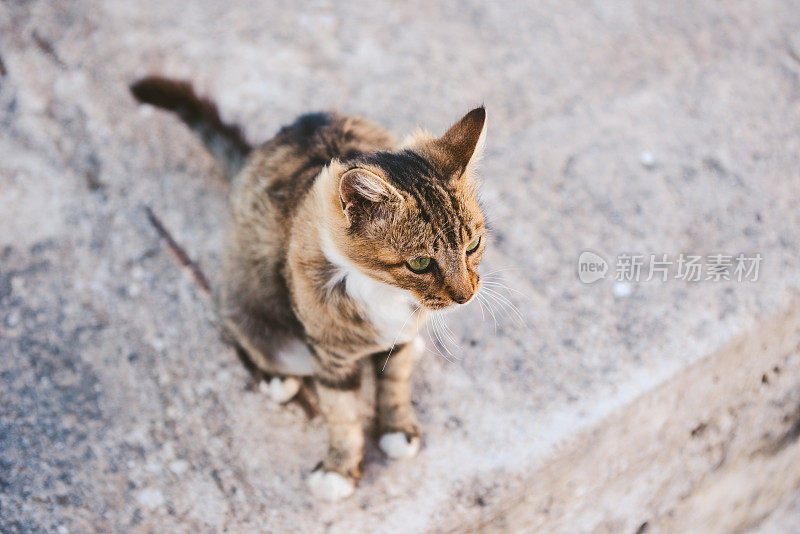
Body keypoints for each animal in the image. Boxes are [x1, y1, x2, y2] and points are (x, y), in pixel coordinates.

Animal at [131, 77, 488, 504]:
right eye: (419, 263)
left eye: (473, 246)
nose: (466, 296)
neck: (381, 289)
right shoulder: (328, 351)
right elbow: (342, 413)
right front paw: (340, 469)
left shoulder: (402, 330)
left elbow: (394, 381)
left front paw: (397, 427)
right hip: (251, 307)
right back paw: (274, 379)